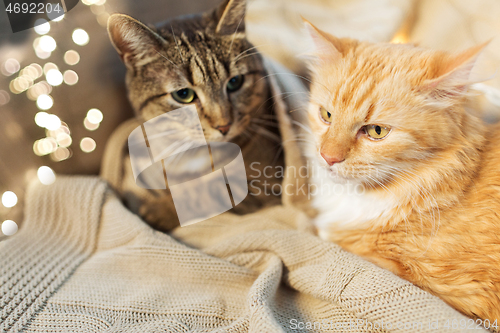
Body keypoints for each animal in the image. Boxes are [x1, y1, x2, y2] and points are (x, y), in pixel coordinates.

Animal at [107, 0, 284, 232]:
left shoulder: (265, 182)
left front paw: (159, 210)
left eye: (235, 82)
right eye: (184, 95)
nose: (224, 125)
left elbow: (206, 191)